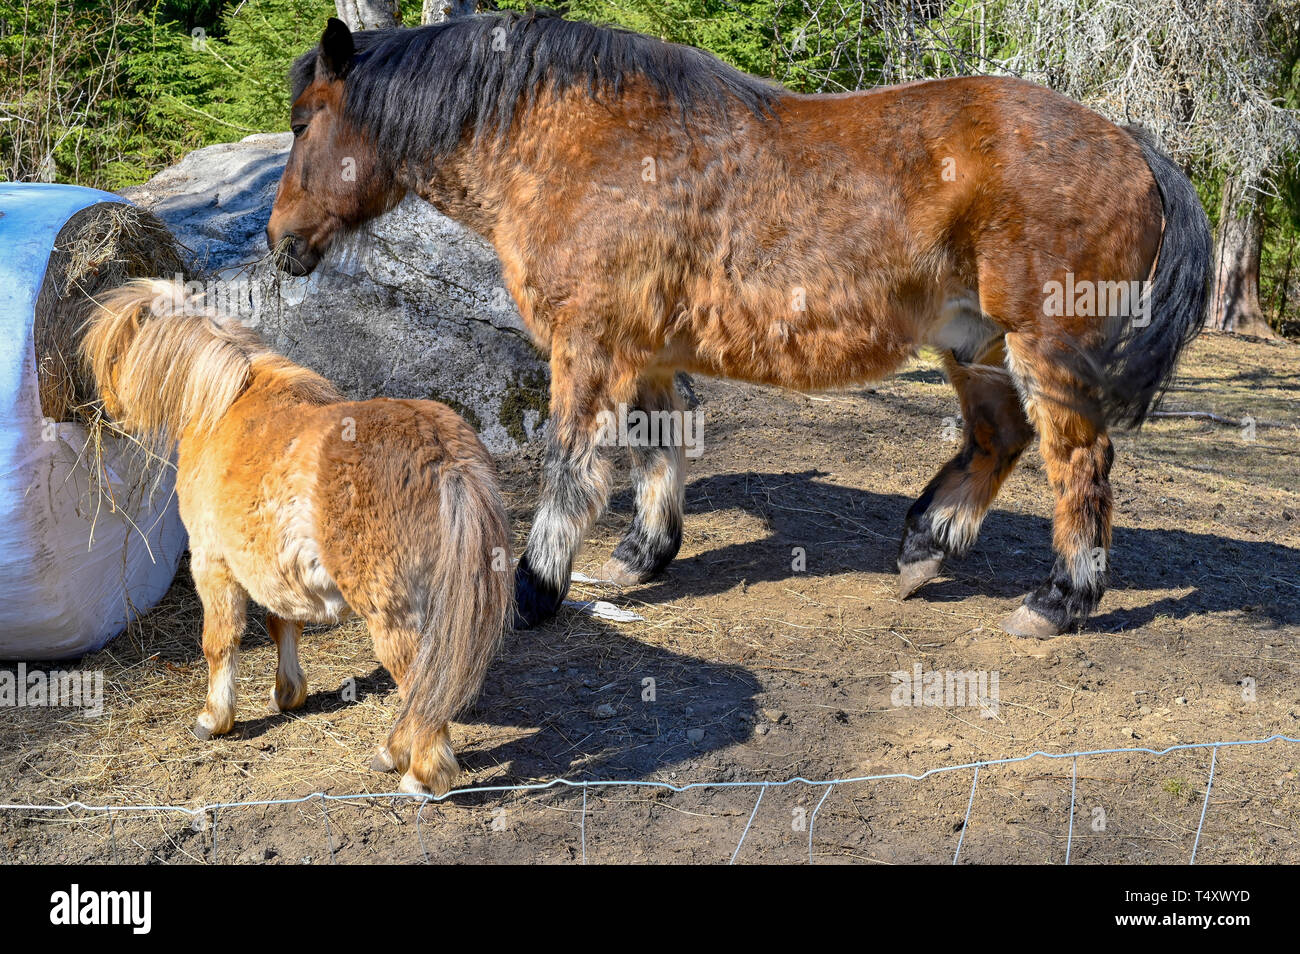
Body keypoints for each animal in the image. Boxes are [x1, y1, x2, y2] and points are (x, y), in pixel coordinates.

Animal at [82, 279, 512, 795]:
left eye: (113, 354)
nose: (106, 412)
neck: (222, 403)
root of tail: (443, 455)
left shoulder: (212, 565)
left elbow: (219, 641)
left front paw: (214, 719)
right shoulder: (274, 569)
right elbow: (282, 625)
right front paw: (287, 693)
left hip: (391, 613)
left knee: (418, 687)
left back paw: (420, 773)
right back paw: (391, 753)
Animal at [267, 12, 1211, 639]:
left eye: (305, 121)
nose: (279, 242)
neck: (576, 139)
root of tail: (1132, 144)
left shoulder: (589, 348)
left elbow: (571, 467)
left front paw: (536, 587)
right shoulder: (644, 354)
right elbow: (657, 449)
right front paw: (642, 554)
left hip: (1045, 348)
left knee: (1077, 462)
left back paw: (1060, 598)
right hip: (971, 344)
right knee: (1000, 438)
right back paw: (924, 546)